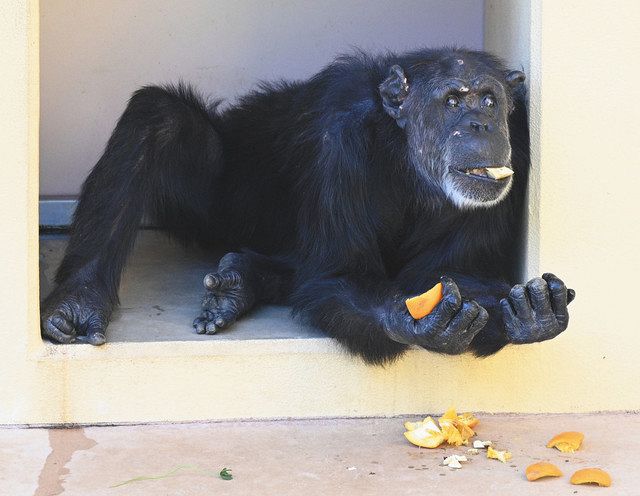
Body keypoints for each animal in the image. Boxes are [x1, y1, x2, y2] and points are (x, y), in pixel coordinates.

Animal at [41, 47, 576, 364]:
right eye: (452, 101)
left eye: (489, 100)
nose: (481, 125)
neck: (402, 148)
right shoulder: (339, 144)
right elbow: (340, 275)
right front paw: (412, 322)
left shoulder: (517, 148)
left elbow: (448, 274)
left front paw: (526, 315)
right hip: (220, 205)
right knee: (157, 116)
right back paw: (77, 304)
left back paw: (240, 282)